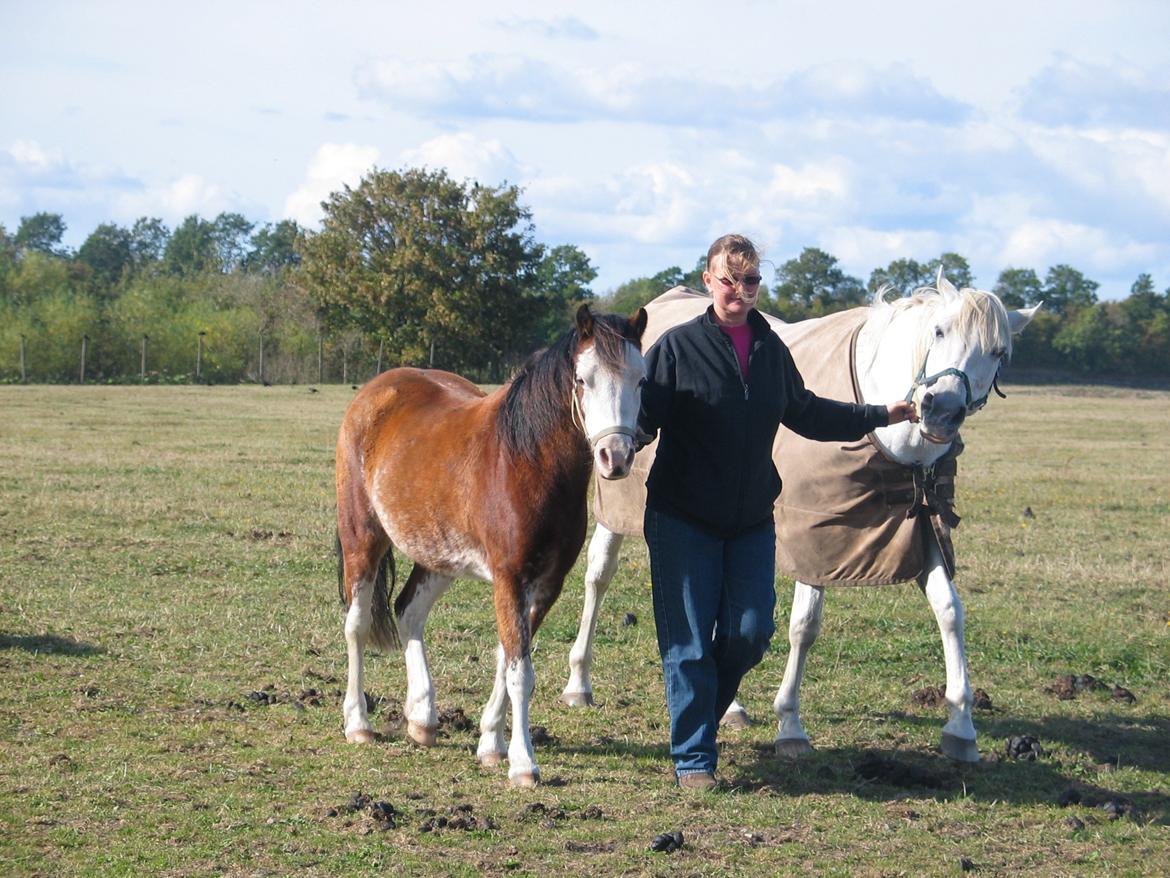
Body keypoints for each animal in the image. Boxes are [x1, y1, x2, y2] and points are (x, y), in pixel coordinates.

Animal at [336, 305, 647, 787]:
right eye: (583, 379)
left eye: (641, 379)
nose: (615, 457)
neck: (526, 461)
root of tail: (374, 392)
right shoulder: (509, 577)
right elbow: (521, 672)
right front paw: (523, 763)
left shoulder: (546, 585)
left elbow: (508, 658)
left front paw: (490, 743)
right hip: (362, 539)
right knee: (357, 623)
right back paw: (358, 723)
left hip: (437, 553)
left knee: (408, 611)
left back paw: (422, 718)